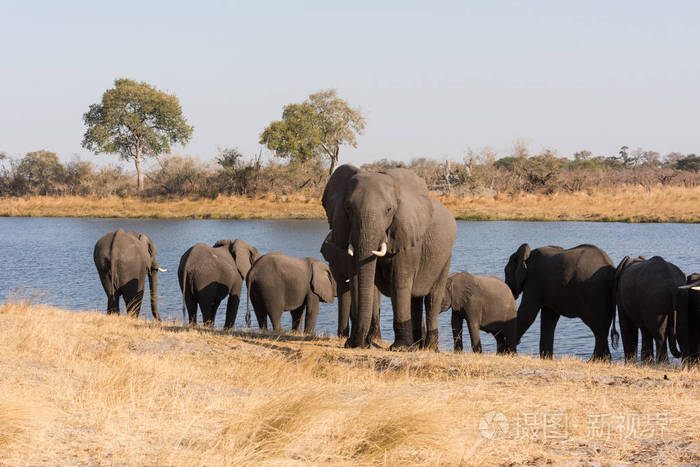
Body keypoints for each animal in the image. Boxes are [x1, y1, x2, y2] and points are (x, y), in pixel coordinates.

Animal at [320, 165, 456, 352]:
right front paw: (355, 344)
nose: (358, 344)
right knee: (414, 300)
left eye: (388, 210)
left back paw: (429, 349)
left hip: (445, 258)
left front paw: (400, 348)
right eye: (348, 209)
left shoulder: (408, 235)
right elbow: (356, 279)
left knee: (431, 299)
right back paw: (417, 346)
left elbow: (399, 280)